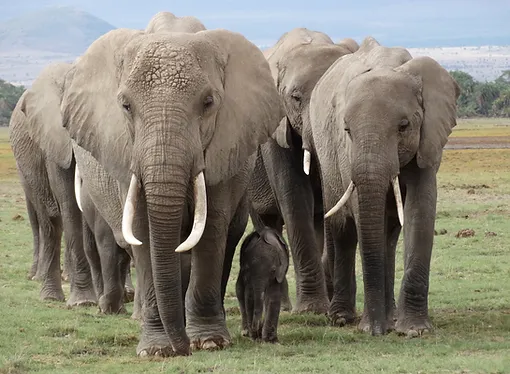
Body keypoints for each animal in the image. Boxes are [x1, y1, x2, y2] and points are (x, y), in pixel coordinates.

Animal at [60, 25, 282, 356]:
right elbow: (142, 231)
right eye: (126, 105)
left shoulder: (225, 147)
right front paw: (157, 350)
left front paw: (209, 342)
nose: (184, 349)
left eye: (208, 103)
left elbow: (211, 228)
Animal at [247, 27, 358, 312]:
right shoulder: (275, 130)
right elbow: (294, 195)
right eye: (296, 98)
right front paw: (312, 309)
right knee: (269, 220)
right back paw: (285, 305)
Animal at [306, 37, 462, 336]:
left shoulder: (428, 138)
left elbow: (420, 210)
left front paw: (414, 330)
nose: (376, 332)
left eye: (403, 126)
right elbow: (359, 211)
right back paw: (342, 318)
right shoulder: (345, 152)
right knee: (344, 230)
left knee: (389, 234)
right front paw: (371, 328)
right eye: (347, 130)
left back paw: (390, 319)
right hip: (324, 152)